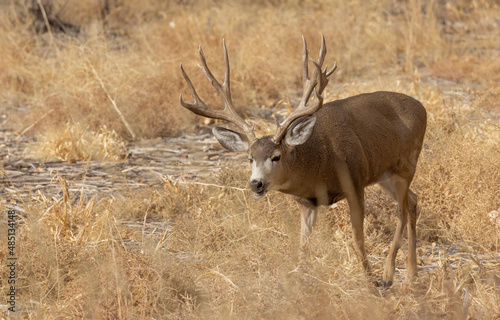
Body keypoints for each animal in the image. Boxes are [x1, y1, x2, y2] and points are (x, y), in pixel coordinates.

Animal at [179, 35, 426, 288]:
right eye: (249, 159)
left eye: (276, 156)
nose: (256, 183)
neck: (321, 165)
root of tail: (422, 107)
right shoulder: (306, 202)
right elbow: (303, 245)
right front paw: (300, 281)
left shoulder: (355, 182)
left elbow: (358, 238)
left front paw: (369, 280)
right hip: (385, 175)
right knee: (413, 201)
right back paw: (412, 273)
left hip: (406, 164)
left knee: (401, 211)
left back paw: (388, 274)